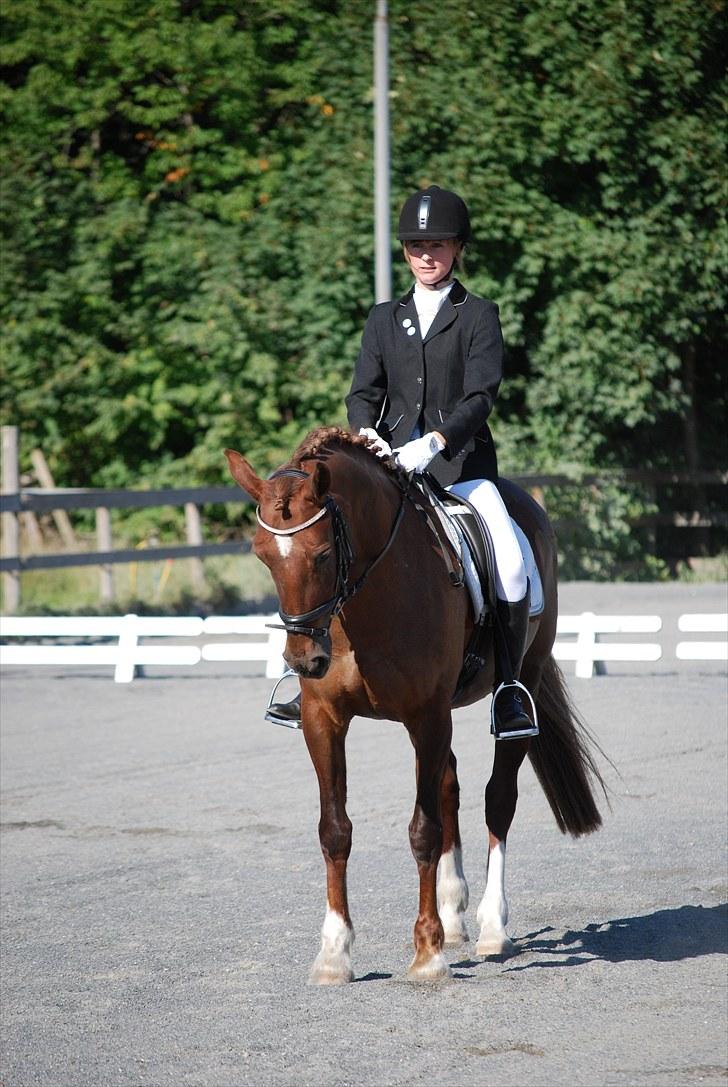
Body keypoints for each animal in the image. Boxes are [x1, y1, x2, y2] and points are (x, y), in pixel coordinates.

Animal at [224, 426, 608, 986]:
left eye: (322, 554)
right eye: (262, 555)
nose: (305, 660)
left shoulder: (426, 716)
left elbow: (423, 831)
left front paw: (427, 954)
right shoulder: (324, 721)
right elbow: (335, 830)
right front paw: (334, 953)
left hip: (521, 681)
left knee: (498, 799)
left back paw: (492, 927)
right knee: (449, 786)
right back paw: (453, 914)